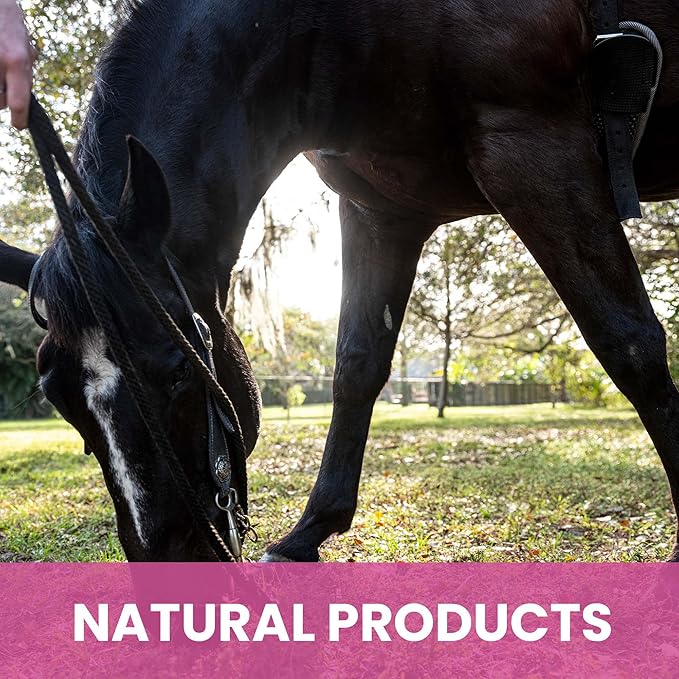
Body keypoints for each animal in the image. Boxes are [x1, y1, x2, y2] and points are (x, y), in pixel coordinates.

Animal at [1, 0, 679, 562]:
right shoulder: (381, 207)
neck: (334, 22)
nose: (167, 562)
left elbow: (630, 344)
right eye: (59, 400)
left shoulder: (536, 147)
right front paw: (309, 533)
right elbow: (357, 366)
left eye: (175, 371)